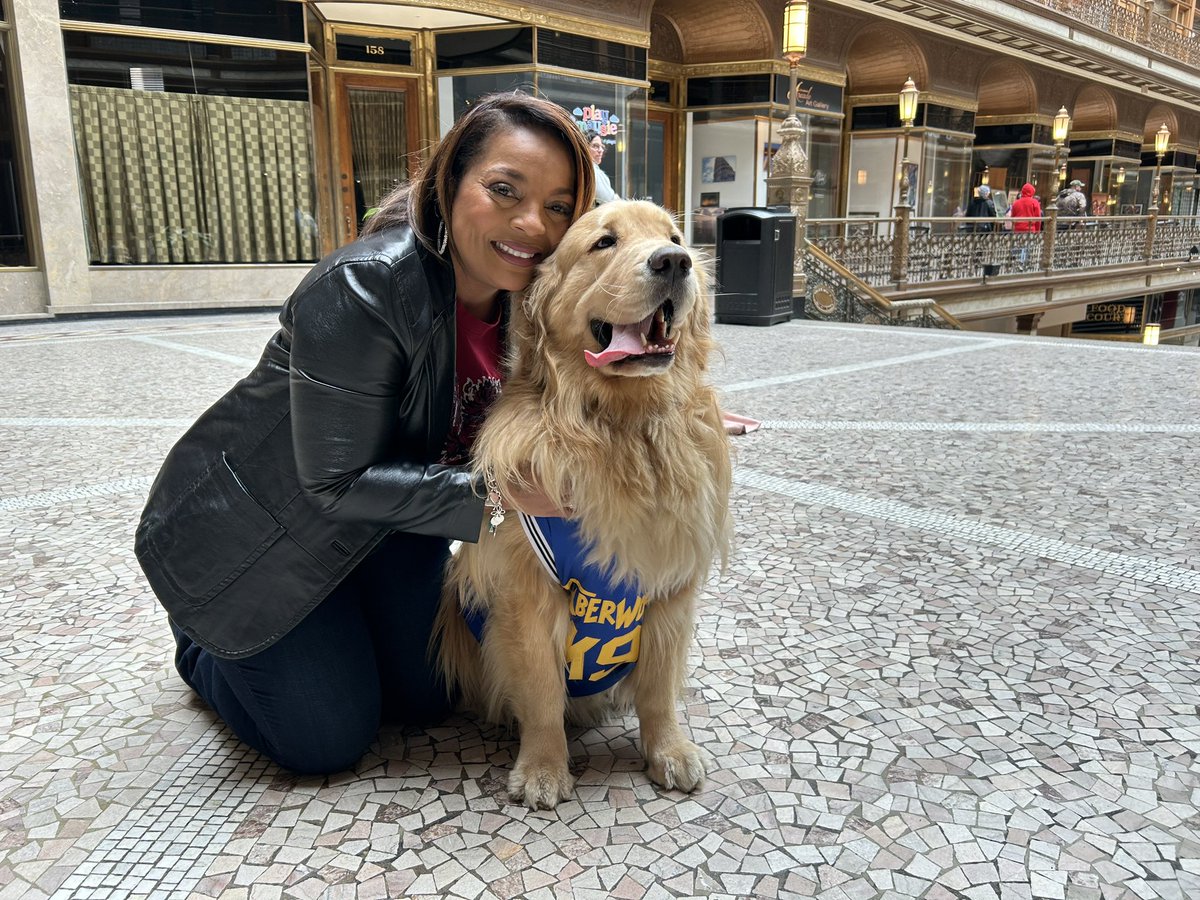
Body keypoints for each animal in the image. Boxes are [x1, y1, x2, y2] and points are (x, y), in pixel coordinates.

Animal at [434, 200, 729, 816]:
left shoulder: (670, 585)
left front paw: (668, 750)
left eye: (674, 236)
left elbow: (659, 690)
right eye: (604, 242)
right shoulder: (527, 595)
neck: (622, 429)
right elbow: (543, 692)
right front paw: (544, 769)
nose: (675, 262)